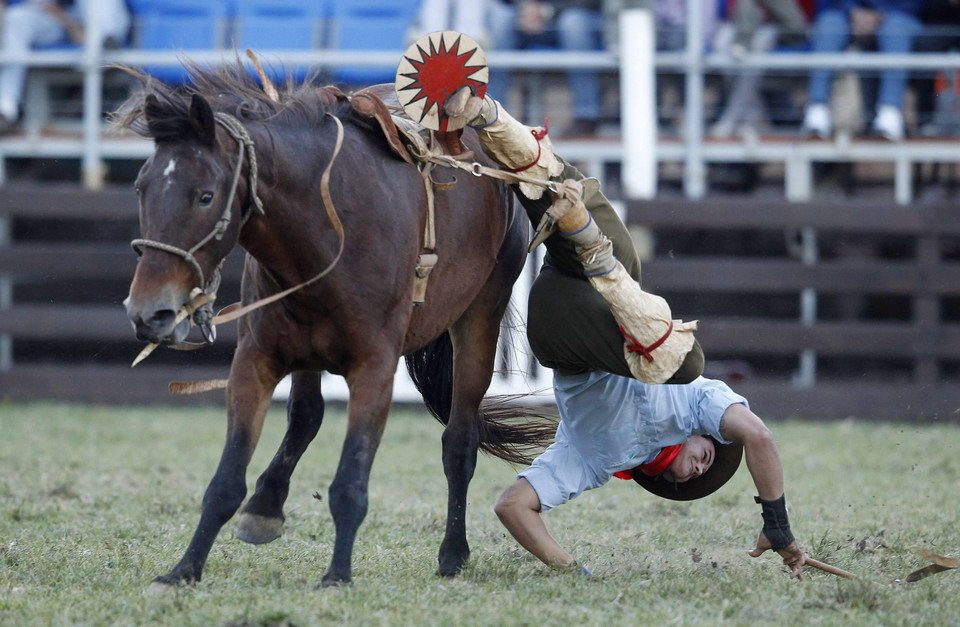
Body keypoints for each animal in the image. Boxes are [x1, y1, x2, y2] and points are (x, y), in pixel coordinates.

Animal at [118, 66, 556, 592]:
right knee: (306, 415)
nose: (148, 312)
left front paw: (337, 575)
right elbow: (226, 480)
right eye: (140, 188)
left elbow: (350, 481)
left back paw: (453, 553)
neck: (328, 226)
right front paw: (184, 569)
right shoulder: (255, 360)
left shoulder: (375, 369)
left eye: (205, 195)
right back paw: (266, 506)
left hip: (480, 316)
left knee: (459, 441)